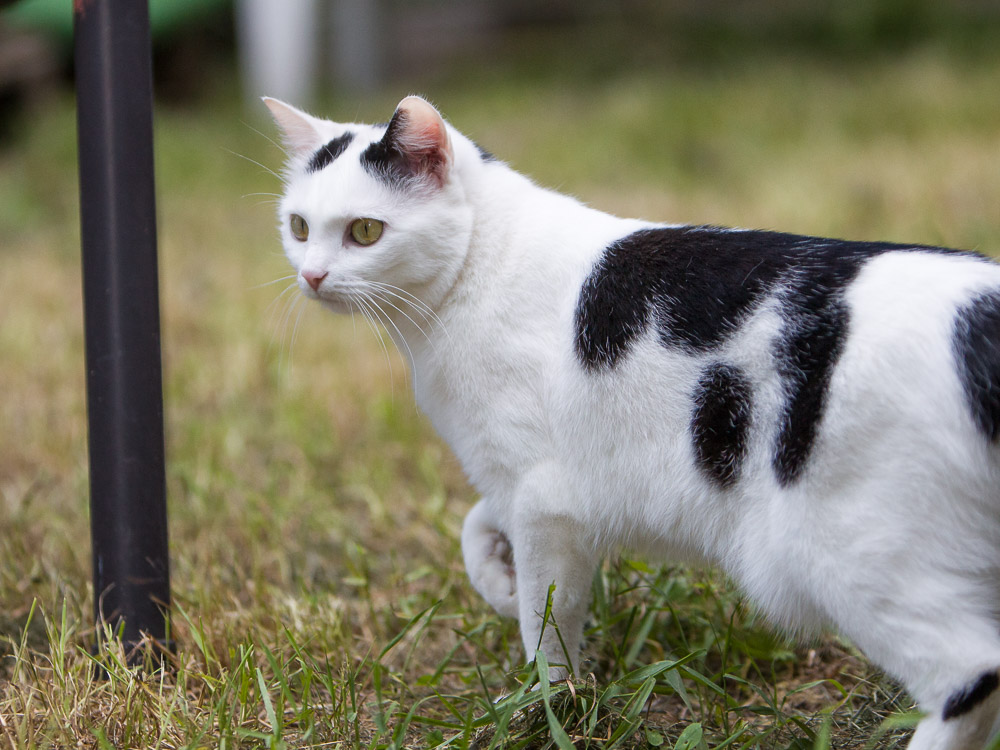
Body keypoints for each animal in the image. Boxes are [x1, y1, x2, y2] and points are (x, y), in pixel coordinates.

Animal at [264, 95, 1000, 750]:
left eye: (364, 231)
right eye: (298, 226)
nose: (313, 276)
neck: (479, 266)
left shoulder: (545, 501)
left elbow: (547, 622)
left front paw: (548, 704)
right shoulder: (525, 485)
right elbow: (476, 525)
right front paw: (498, 585)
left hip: (852, 555)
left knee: (973, 673)